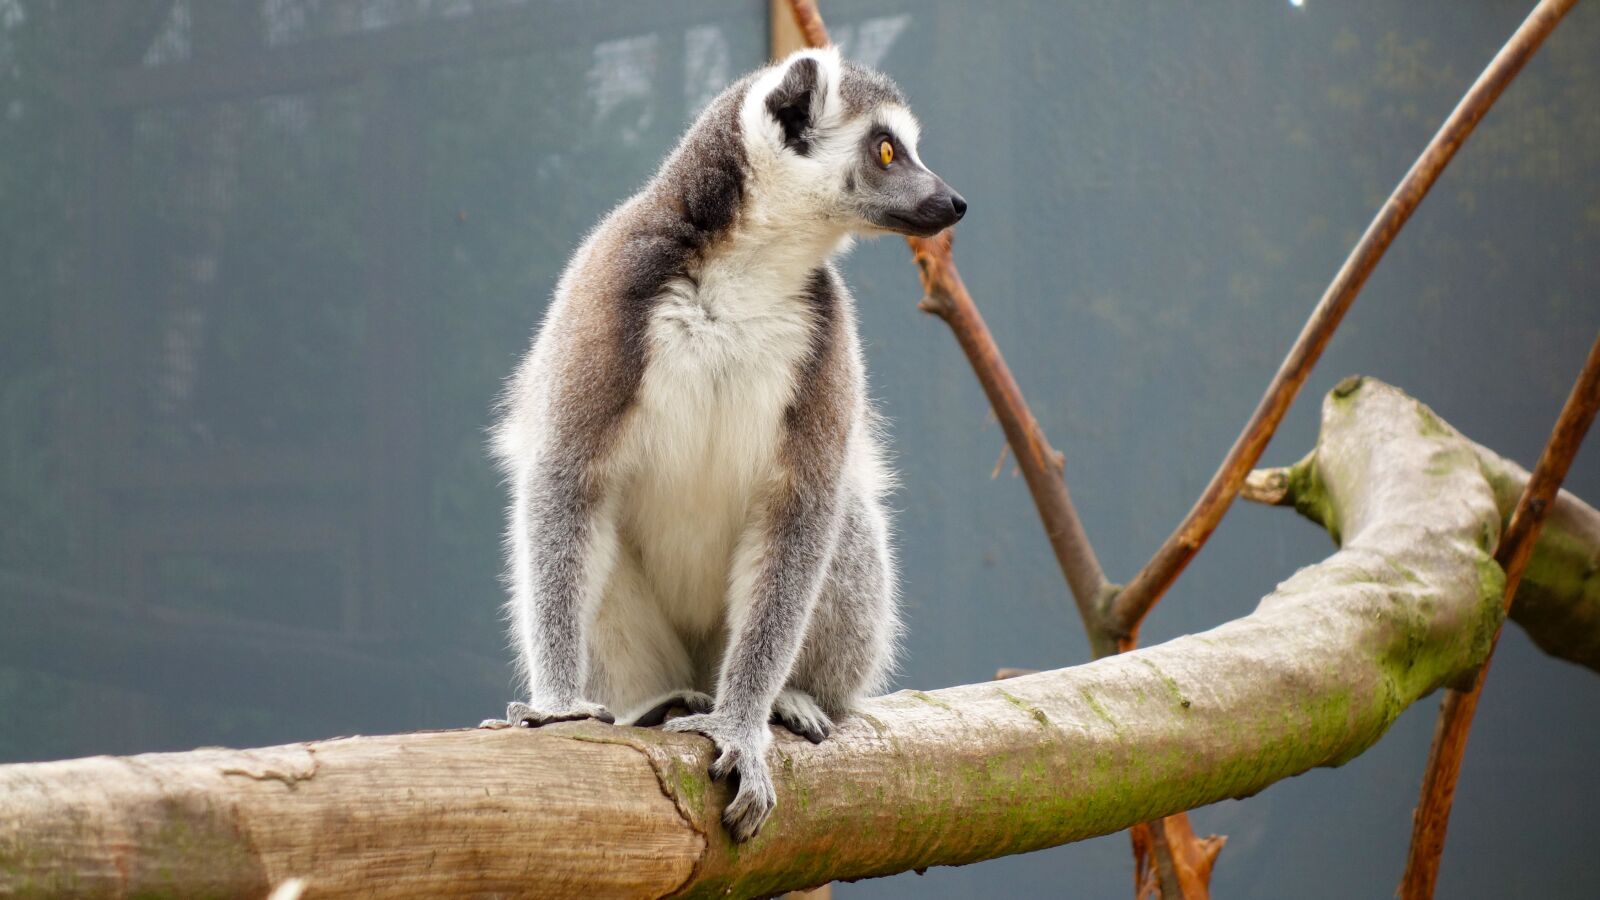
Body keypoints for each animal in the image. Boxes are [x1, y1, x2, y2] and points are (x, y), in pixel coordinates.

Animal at [482, 47, 966, 843]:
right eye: (887, 150)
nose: (952, 202)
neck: (750, 267)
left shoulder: (829, 332)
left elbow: (803, 507)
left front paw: (740, 724)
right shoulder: (611, 282)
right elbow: (567, 477)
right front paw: (554, 705)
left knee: (843, 521)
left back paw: (789, 697)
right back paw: (656, 706)